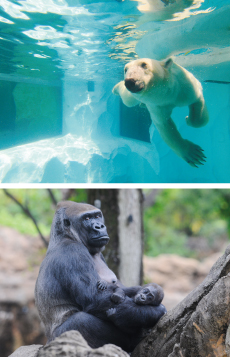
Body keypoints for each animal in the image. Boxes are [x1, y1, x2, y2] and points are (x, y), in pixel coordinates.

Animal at [35, 200, 166, 350]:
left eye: (97, 216)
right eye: (86, 218)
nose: (100, 226)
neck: (65, 236)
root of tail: (47, 342)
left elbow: (122, 288)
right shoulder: (72, 252)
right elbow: (95, 298)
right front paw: (156, 311)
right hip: (58, 340)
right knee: (81, 321)